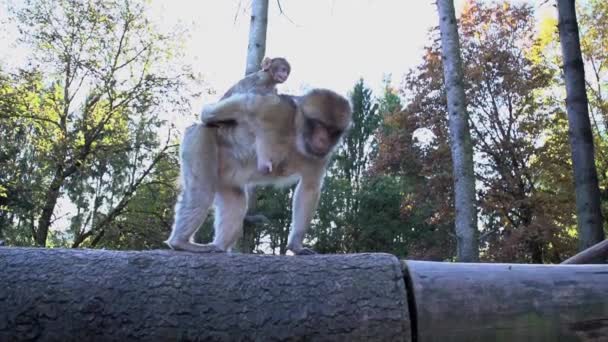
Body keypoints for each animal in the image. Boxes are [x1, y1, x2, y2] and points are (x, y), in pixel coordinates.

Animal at [166, 89, 352, 255]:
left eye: (332, 131)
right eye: (319, 125)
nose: (322, 140)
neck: (296, 138)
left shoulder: (321, 156)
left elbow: (309, 188)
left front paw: (296, 246)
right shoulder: (278, 110)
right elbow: (246, 105)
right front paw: (207, 114)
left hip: (225, 178)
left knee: (237, 200)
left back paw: (219, 246)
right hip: (200, 138)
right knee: (202, 191)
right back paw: (180, 242)